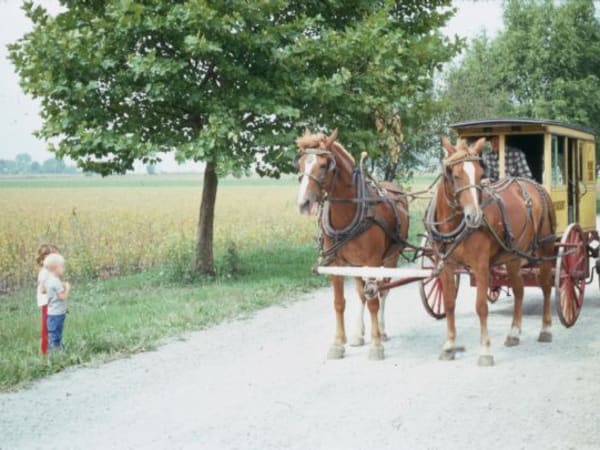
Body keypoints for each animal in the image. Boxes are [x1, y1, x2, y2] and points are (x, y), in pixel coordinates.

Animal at [295, 128, 409, 360]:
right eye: (300, 163)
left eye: (324, 165)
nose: (304, 203)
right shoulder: (336, 264)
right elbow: (340, 303)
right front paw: (338, 343)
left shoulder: (373, 261)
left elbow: (374, 301)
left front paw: (376, 345)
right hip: (356, 265)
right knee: (361, 292)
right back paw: (358, 334)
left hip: (390, 257)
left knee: (382, 291)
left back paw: (381, 330)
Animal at [426, 137, 556, 366]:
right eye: (455, 175)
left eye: (480, 174)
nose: (475, 216)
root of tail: (532, 184)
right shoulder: (446, 265)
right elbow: (449, 303)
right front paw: (449, 346)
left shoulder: (480, 266)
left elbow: (481, 307)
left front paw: (485, 351)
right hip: (513, 256)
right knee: (519, 291)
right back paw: (514, 333)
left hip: (545, 248)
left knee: (546, 286)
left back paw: (546, 329)